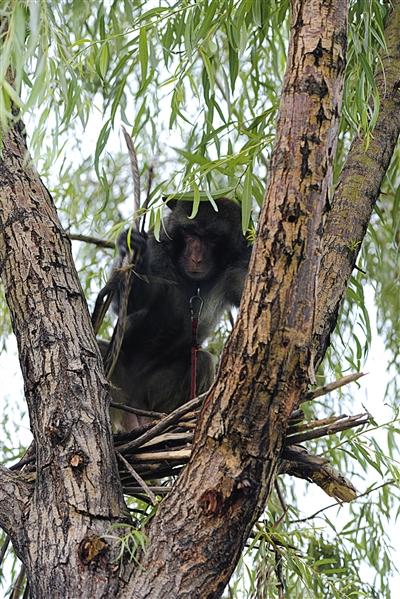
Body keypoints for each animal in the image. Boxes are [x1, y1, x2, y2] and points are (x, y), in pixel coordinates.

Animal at [100, 199, 250, 434]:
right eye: (189, 233)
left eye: (212, 238)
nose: (195, 258)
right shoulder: (158, 248)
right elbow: (131, 304)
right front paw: (133, 249)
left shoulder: (239, 262)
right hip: (120, 387)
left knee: (202, 361)